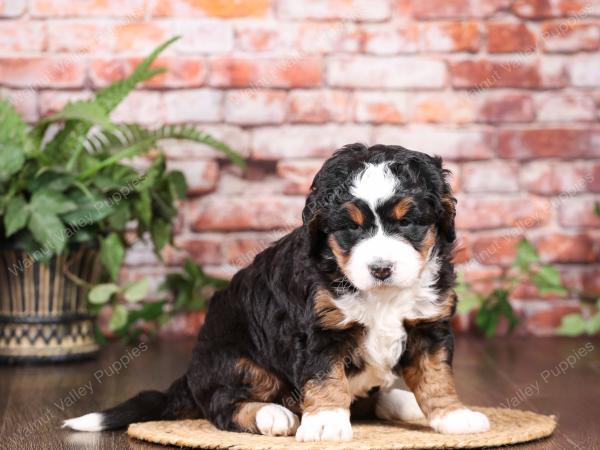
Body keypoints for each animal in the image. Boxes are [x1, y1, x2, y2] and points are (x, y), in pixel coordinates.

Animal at [64, 145, 492, 442]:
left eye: (408, 222)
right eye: (350, 228)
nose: (381, 268)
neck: (381, 295)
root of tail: (191, 374)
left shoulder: (428, 324)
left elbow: (436, 375)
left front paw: (452, 415)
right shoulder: (318, 330)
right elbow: (325, 377)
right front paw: (325, 423)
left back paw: (400, 401)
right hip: (237, 361)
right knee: (222, 405)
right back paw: (273, 414)